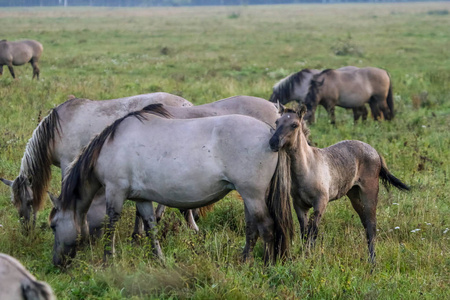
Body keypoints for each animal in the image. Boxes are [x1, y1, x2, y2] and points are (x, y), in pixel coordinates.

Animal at [0, 92, 192, 236]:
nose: (26, 230)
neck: (55, 130)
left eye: (29, 201)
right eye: (14, 202)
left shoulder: (67, 163)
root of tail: (188, 105)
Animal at [50, 108, 296, 268]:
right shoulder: (142, 199)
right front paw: (159, 258)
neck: (111, 146)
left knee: (267, 227)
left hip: (253, 195)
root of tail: (269, 134)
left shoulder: (115, 192)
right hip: (248, 197)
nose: (57, 263)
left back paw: (267, 265)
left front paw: (108, 259)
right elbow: (150, 227)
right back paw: (245, 260)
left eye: (53, 225)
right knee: (252, 228)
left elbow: (111, 225)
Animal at [268, 105, 410, 262]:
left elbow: (313, 232)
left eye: (294, 125)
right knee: (365, 223)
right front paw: (305, 257)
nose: (273, 142)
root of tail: (375, 151)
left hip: (370, 192)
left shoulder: (320, 203)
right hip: (354, 195)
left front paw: (310, 259)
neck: (307, 168)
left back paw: (372, 260)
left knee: (371, 225)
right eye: (277, 122)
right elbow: (304, 234)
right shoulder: (299, 205)